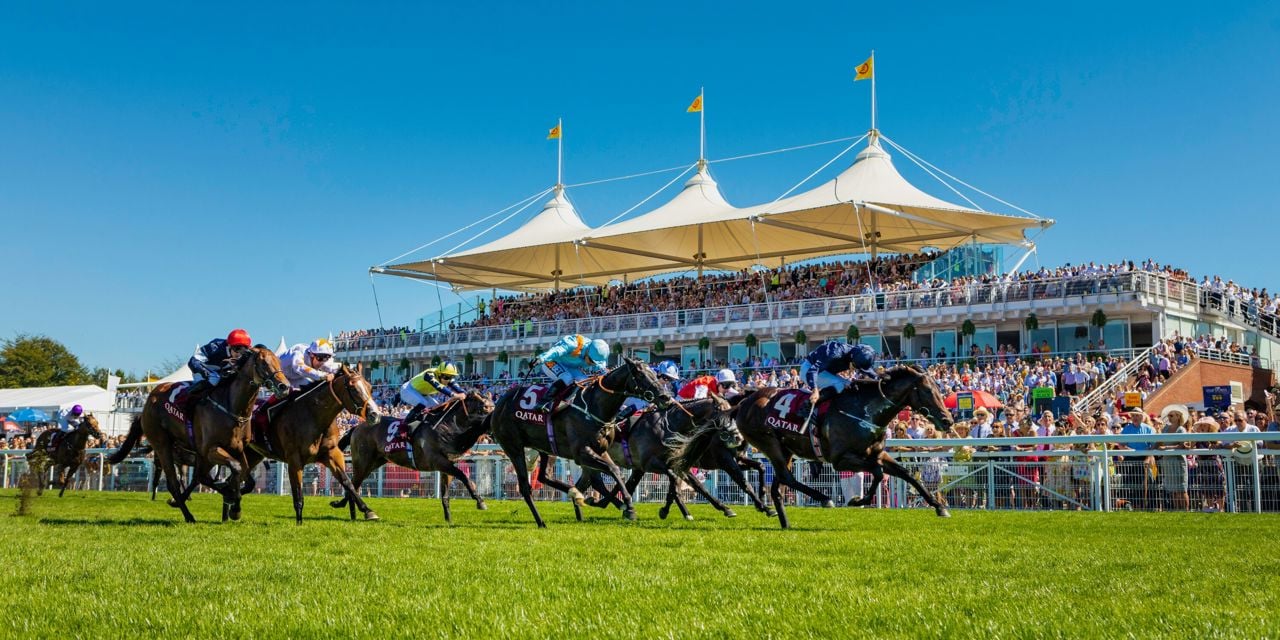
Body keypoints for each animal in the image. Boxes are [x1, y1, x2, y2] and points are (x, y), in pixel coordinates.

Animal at [107, 345, 290, 519]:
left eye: (279, 363)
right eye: (264, 363)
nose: (285, 386)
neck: (232, 407)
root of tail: (148, 403)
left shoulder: (237, 449)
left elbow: (249, 481)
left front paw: (233, 502)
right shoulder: (211, 449)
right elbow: (236, 468)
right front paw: (233, 503)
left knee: (199, 477)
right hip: (162, 446)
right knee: (175, 483)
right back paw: (188, 515)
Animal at [239, 366, 378, 524]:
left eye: (370, 387)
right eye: (353, 388)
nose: (374, 414)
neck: (313, 416)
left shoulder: (331, 454)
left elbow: (348, 483)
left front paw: (367, 510)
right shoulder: (294, 460)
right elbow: (298, 495)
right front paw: (299, 523)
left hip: (253, 454)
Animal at [330, 389, 494, 524]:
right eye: (485, 407)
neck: (447, 428)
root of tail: (356, 427)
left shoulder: (446, 465)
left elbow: (446, 495)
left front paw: (449, 521)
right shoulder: (438, 461)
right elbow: (464, 476)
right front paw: (480, 501)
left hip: (374, 463)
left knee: (354, 485)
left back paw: (352, 512)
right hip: (363, 461)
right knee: (352, 484)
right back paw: (361, 512)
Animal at [488, 358, 675, 527]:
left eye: (655, 375)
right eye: (640, 374)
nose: (666, 397)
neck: (594, 406)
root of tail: (499, 404)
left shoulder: (600, 450)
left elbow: (610, 475)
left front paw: (618, 503)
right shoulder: (581, 452)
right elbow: (613, 470)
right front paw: (629, 507)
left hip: (545, 448)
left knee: (545, 476)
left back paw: (576, 494)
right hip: (514, 447)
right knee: (525, 488)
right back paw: (541, 521)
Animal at [737, 366, 957, 529]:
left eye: (940, 390)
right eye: (928, 391)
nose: (948, 420)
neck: (864, 411)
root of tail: (745, 401)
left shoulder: (878, 454)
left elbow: (907, 474)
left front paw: (939, 506)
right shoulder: (841, 460)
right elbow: (877, 472)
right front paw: (858, 500)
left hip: (785, 450)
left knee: (779, 485)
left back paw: (785, 522)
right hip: (770, 443)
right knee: (787, 478)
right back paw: (824, 499)